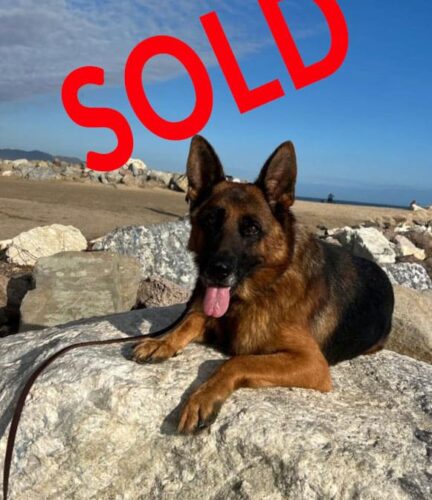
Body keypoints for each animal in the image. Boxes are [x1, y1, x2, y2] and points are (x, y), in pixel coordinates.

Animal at [132, 136, 394, 434]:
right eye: (210, 221)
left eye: (252, 229)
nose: (216, 272)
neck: (257, 293)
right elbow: (190, 320)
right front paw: (161, 341)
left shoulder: (312, 363)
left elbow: (237, 361)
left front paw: (203, 396)